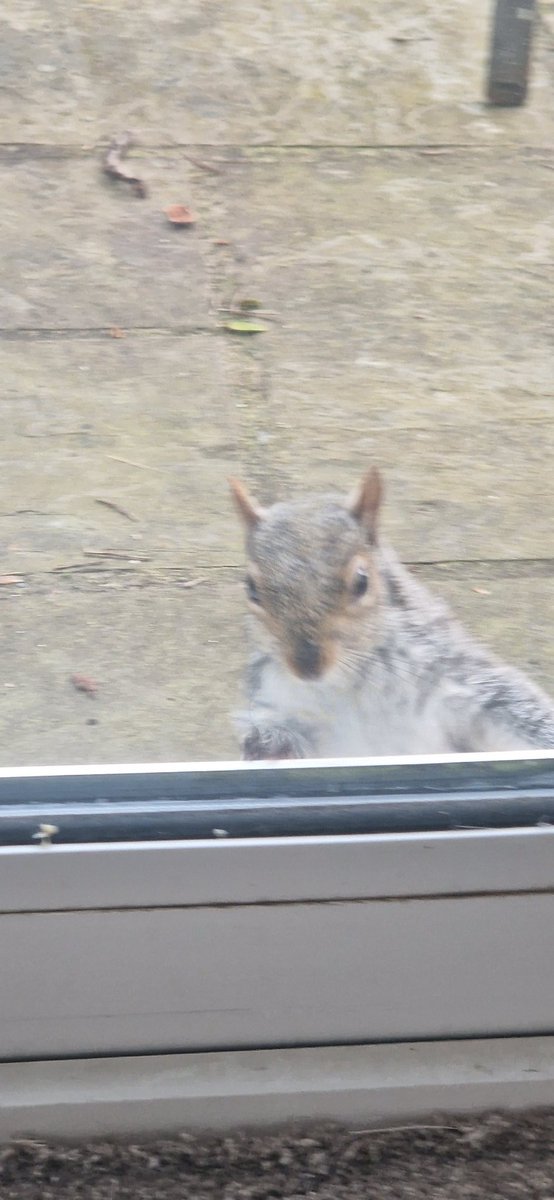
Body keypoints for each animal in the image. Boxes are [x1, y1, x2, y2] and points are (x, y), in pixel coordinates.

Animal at [229, 467, 554, 759]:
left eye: (362, 581)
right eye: (251, 589)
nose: (307, 666)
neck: (349, 682)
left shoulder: (453, 678)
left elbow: (510, 706)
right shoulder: (278, 701)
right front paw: (268, 748)